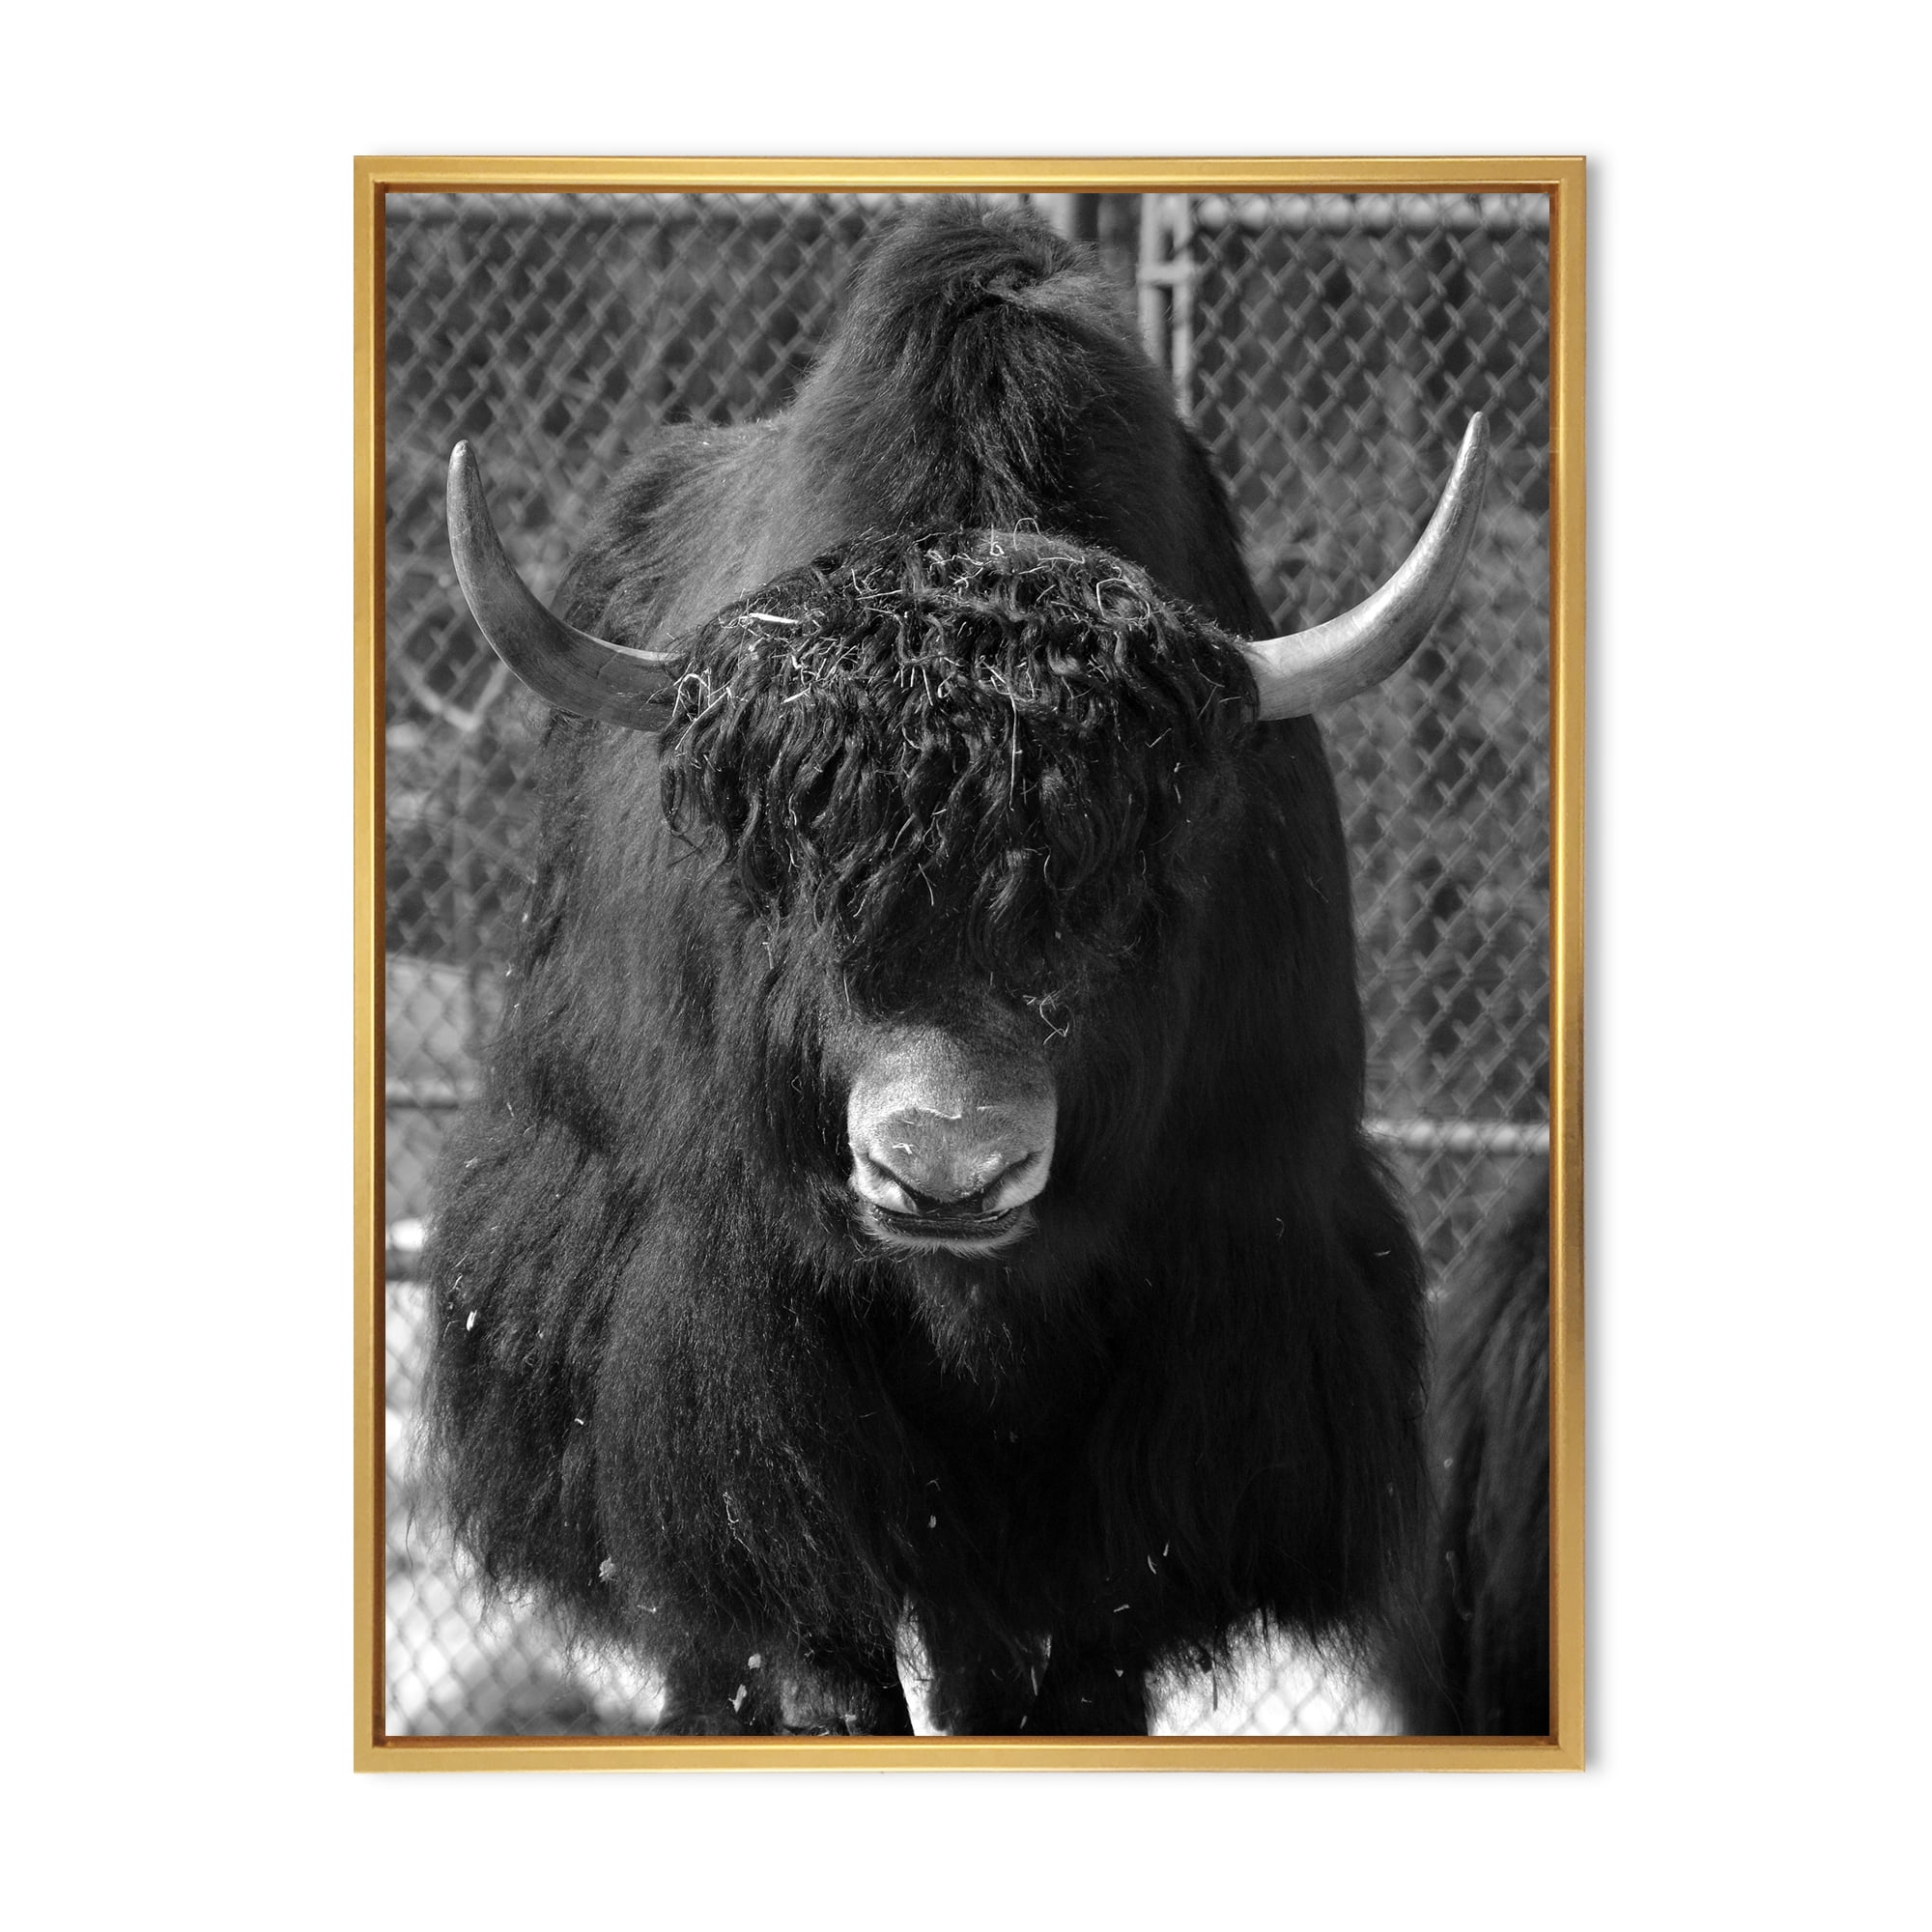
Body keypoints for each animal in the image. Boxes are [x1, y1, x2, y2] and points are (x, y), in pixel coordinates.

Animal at [421, 201, 1490, 1736]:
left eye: (1127, 894)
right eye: (790, 885)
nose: (945, 1172)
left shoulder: (1200, 1356)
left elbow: (1075, 1663)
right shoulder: (738, 1371)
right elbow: (810, 1644)